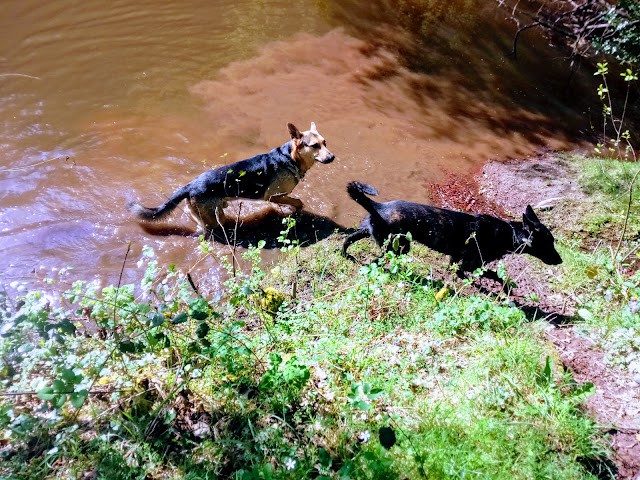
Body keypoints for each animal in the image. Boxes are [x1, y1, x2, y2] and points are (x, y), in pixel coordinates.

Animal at [126, 122, 336, 231]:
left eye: (325, 143)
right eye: (315, 146)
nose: (332, 157)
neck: (289, 157)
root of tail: (190, 185)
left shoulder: (277, 196)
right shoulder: (272, 195)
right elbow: (297, 201)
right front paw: (295, 211)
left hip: (213, 212)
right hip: (212, 218)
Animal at [344, 180, 560, 278]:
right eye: (548, 243)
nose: (561, 261)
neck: (510, 233)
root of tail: (379, 206)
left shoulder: (456, 257)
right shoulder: (471, 263)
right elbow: (481, 273)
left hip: (367, 231)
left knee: (346, 241)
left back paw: (347, 256)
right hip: (398, 247)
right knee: (376, 261)